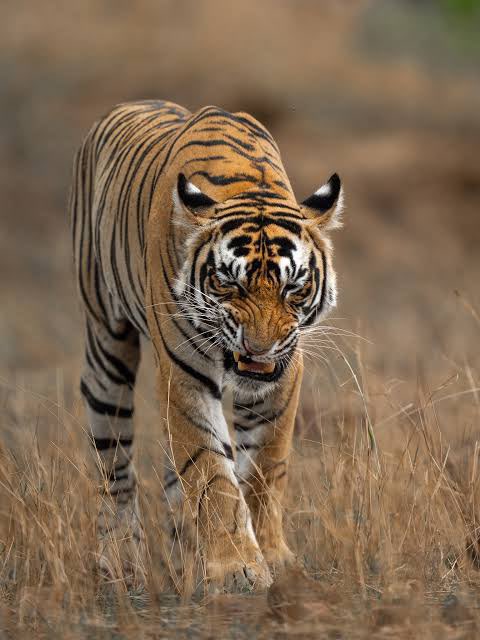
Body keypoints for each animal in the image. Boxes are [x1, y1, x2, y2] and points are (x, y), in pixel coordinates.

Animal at [70, 99, 343, 592]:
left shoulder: (285, 374)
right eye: (227, 283)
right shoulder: (185, 371)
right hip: (106, 346)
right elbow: (211, 471)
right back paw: (120, 561)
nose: (259, 349)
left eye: (293, 287)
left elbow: (264, 469)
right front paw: (236, 567)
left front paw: (272, 556)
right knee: (115, 466)